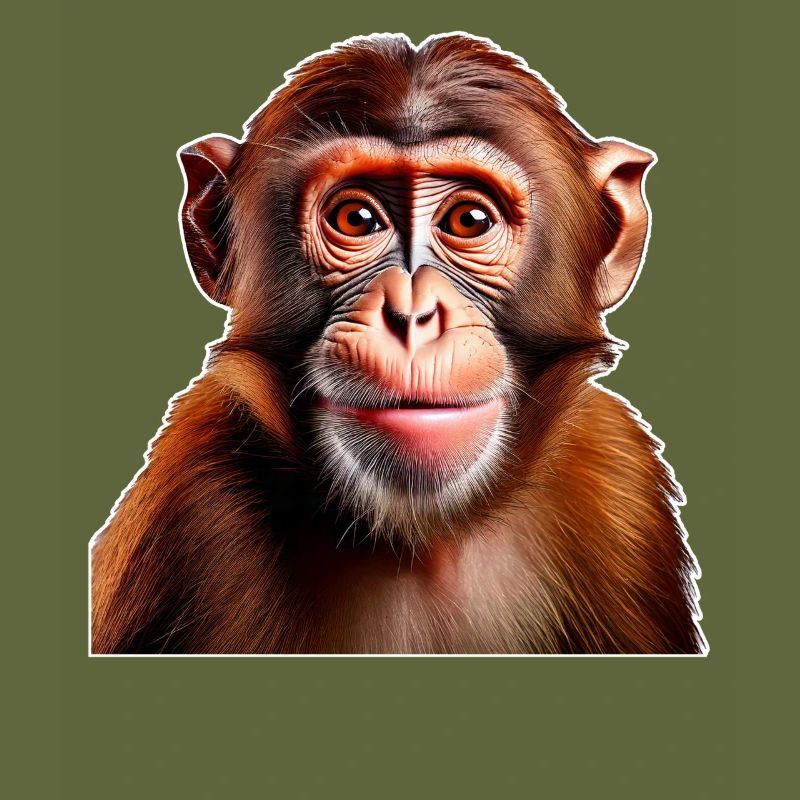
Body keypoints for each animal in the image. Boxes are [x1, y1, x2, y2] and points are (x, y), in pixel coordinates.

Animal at [90, 33, 705, 654]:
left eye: (469, 219)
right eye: (356, 219)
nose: (412, 315)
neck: (423, 540)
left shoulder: (619, 477)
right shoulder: (190, 504)